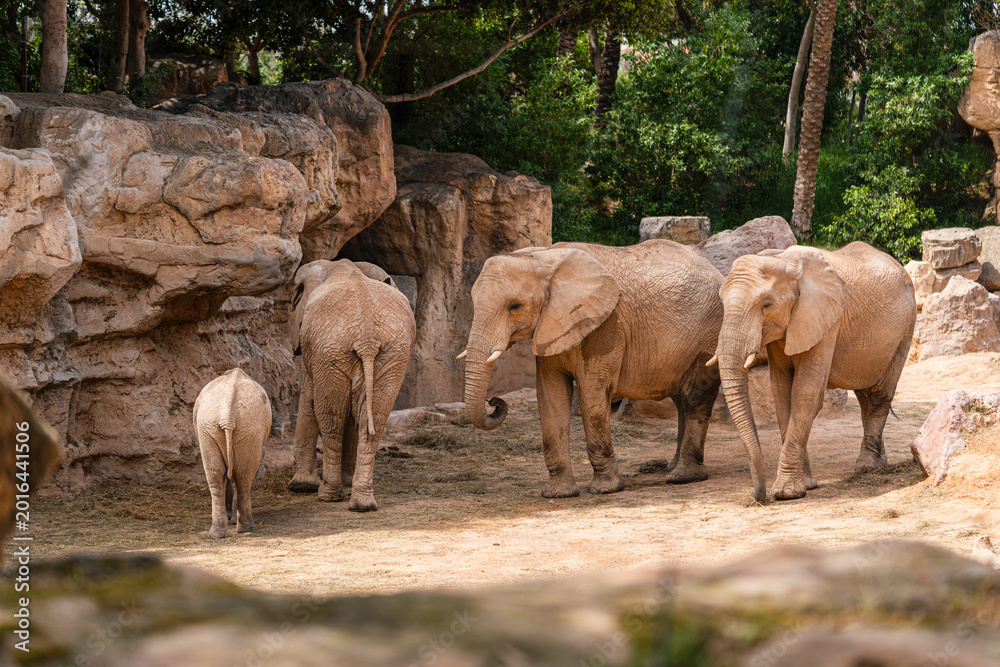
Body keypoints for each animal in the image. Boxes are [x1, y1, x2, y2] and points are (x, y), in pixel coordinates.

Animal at [193, 368, 272, 539]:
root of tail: (227, 417)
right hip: (238, 427)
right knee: (242, 475)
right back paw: (243, 528)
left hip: (231, 427)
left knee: (223, 475)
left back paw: (220, 533)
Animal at [287, 259, 415, 511]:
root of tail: (367, 337)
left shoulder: (311, 350)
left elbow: (308, 399)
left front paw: (301, 486)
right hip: (392, 356)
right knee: (373, 420)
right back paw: (362, 504)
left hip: (330, 351)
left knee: (331, 419)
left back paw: (328, 494)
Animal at [462, 241, 724, 498]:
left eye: (515, 306)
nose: (494, 401)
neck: (544, 256)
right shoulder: (550, 327)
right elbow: (551, 396)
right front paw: (559, 494)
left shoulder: (606, 326)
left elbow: (591, 395)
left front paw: (605, 490)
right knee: (681, 399)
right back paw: (673, 468)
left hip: (710, 331)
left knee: (695, 396)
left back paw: (683, 477)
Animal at [713, 242, 916, 502]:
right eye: (722, 301)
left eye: (766, 305)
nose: (759, 496)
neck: (784, 261)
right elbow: (781, 394)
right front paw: (807, 485)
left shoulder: (826, 321)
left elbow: (805, 394)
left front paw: (786, 493)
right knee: (865, 396)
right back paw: (879, 463)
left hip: (906, 326)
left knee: (880, 394)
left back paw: (867, 467)